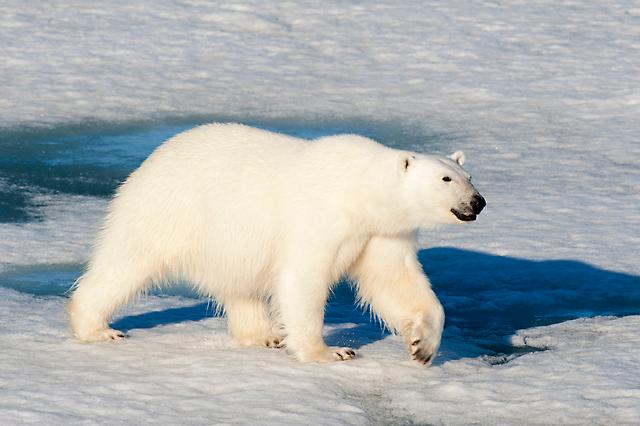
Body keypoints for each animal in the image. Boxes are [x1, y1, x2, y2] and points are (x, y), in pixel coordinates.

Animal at [66, 122, 484, 362]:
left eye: (468, 175)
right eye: (446, 179)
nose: (477, 202)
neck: (361, 190)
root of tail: (151, 159)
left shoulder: (382, 232)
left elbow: (396, 282)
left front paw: (422, 346)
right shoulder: (321, 217)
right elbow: (304, 278)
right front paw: (330, 351)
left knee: (240, 286)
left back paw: (262, 336)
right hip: (168, 210)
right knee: (126, 263)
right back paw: (98, 328)